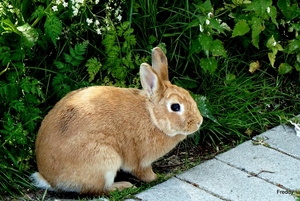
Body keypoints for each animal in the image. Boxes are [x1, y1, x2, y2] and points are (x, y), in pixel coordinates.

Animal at [30, 46, 203, 195]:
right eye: (175, 107)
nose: (199, 122)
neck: (152, 117)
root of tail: (49, 178)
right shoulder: (141, 161)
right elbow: (144, 173)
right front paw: (158, 177)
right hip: (105, 161)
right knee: (98, 190)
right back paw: (123, 186)